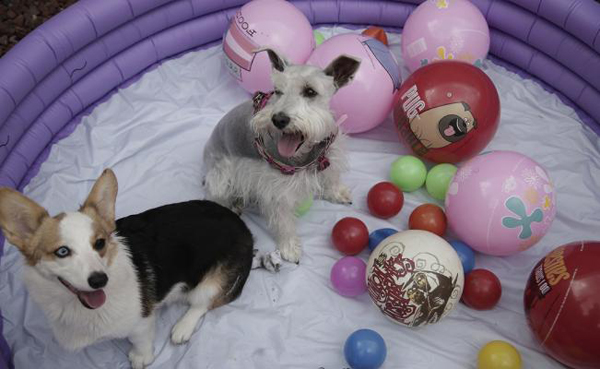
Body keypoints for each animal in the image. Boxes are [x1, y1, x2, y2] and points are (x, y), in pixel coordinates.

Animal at [0, 168, 255, 366]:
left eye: (100, 243)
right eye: (62, 251)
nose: (100, 280)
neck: (78, 308)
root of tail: (244, 227)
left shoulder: (141, 322)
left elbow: (140, 341)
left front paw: (141, 357)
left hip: (213, 283)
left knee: (203, 303)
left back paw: (183, 327)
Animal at [202, 49, 360, 268]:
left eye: (310, 91)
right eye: (277, 90)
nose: (278, 119)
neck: (305, 152)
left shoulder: (329, 152)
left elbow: (331, 175)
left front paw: (337, 193)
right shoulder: (277, 190)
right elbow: (283, 221)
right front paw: (289, 247)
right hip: (221, 177)